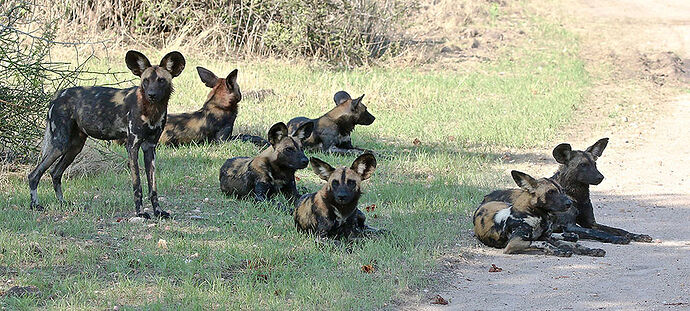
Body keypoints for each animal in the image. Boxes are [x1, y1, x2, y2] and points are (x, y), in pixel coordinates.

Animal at [27, 50, 185, 219]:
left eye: (161, 80)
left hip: (74, 148)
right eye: (146, 81)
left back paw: (63, 203)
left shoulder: (150, 148)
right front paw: (141, 213)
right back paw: (35, 205)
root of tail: (58, 95)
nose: (151, 94)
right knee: (34, 174)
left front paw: (158, 211)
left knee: (55, 173)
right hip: (60, 144)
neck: (152, 110)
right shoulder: (132, 146)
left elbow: (153, 187)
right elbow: (137, 185)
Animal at [472, 172, 600, 258]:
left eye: (563, 190)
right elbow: (541, 242)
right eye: (550, 192)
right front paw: (558, 251)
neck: (538, 217)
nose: (569, 203)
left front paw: (590, 250)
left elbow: (570, 244)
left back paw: (570, 235)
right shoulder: (513, 244)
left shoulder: (546, 237)